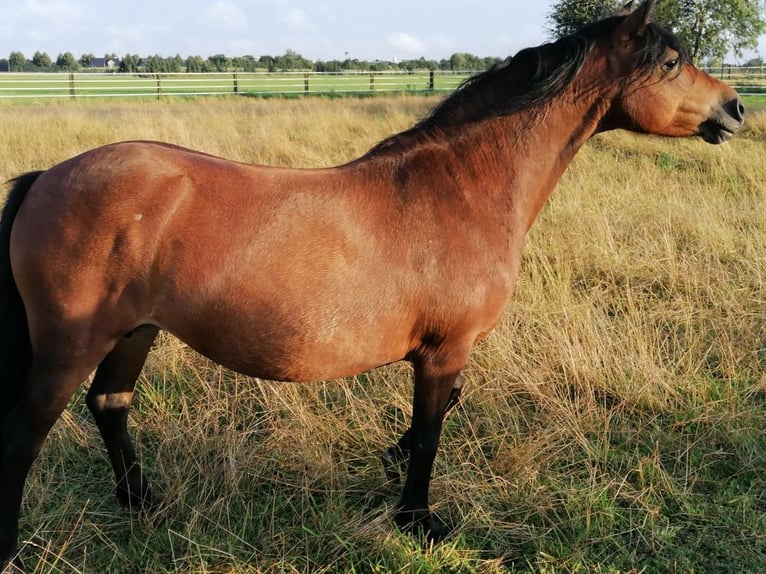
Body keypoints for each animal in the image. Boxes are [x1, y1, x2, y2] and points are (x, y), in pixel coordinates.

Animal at [0, 2, 744, 572]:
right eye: (670, 62)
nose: (735, 109)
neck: (463, 187)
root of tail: (47, 178)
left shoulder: (443, 351)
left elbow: (432, 421)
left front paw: (394, 466)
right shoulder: (445, 351)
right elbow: (434, 428)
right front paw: (419, 518)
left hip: (135, 331)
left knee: (110, 404)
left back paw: (143, 500)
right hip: (72, 341)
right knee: (26, 431)